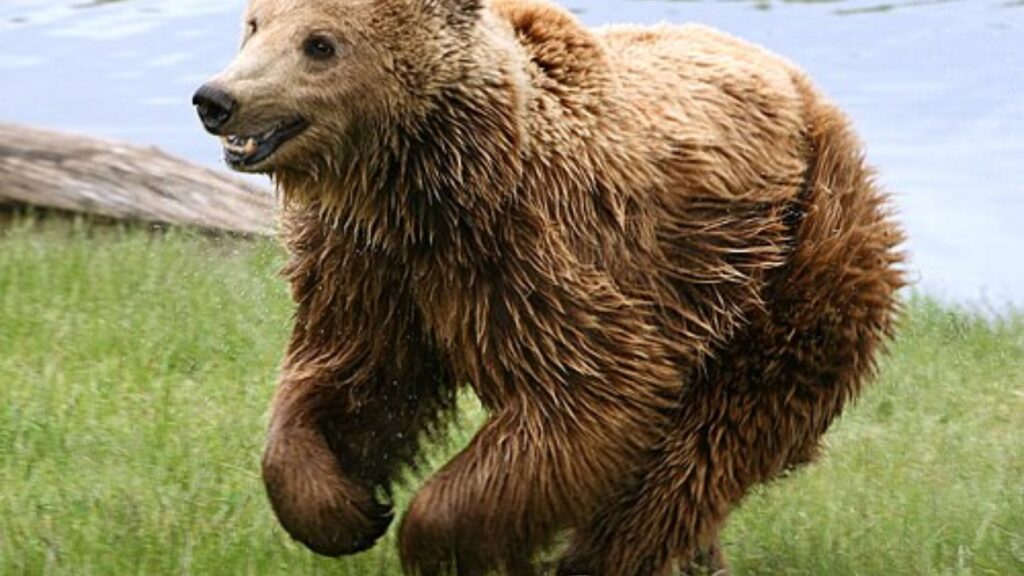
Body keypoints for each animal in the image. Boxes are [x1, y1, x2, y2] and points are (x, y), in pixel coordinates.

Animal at [193, 0, 905, 574]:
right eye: (254, 25)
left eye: (320, 43)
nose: (216, 98)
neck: (422, 184)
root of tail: (809, 91)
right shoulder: (368, 269)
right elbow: (352, 379)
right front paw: (347, 508)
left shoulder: (538, 253)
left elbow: (588, 397)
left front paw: (433, 540)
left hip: (789, 262)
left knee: (709, 443)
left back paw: (602, 556)